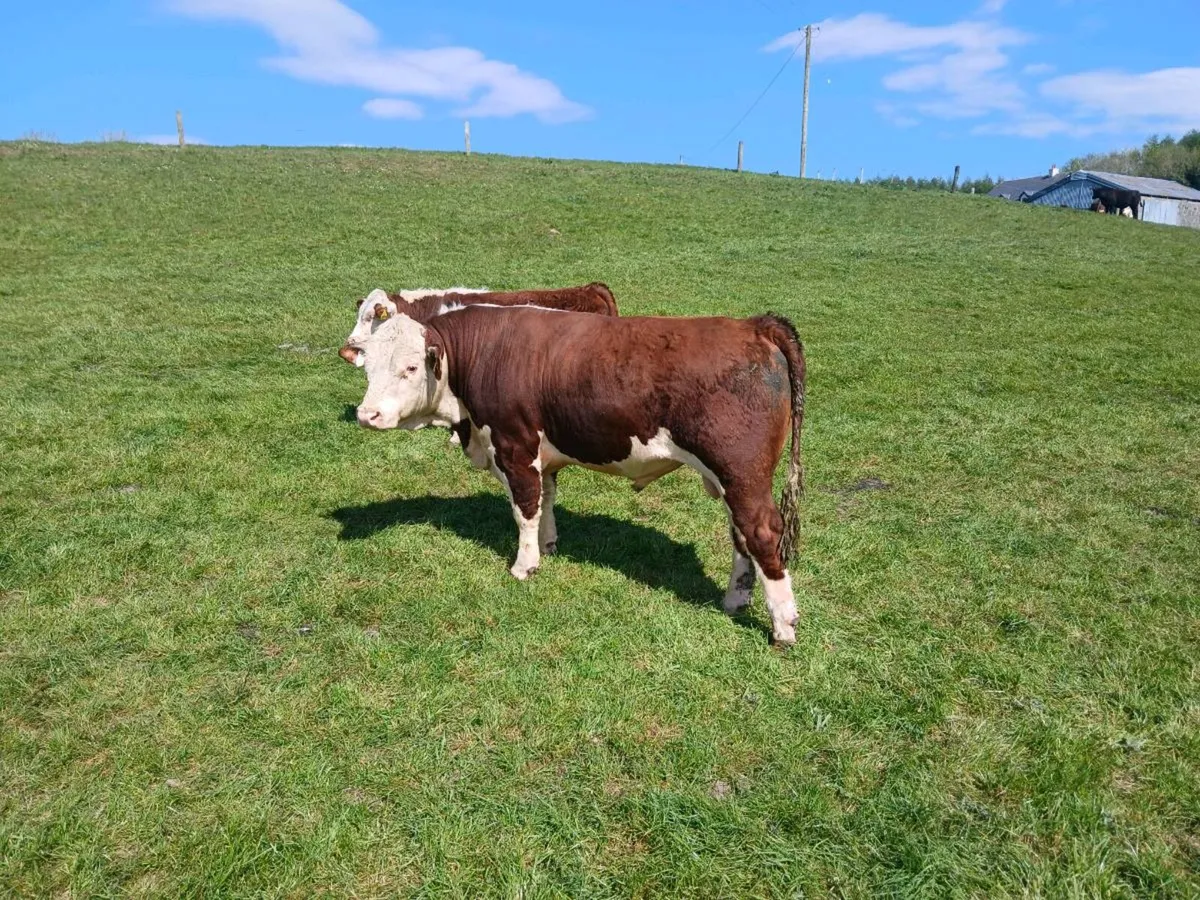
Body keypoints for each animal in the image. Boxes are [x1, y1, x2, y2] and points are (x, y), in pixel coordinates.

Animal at [349, 305, 807, 645]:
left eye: (411, 368)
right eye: (368, 368)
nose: (366, 415)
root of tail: (753, 325)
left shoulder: (514, 447)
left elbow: (524, 508)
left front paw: (525, 565)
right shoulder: (543, 456)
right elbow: (547, 500)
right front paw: (548, 545)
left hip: (741, 472)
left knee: (761, 532)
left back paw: (783, 626)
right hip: (733, 480)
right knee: (740, 536)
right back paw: (735, 599)